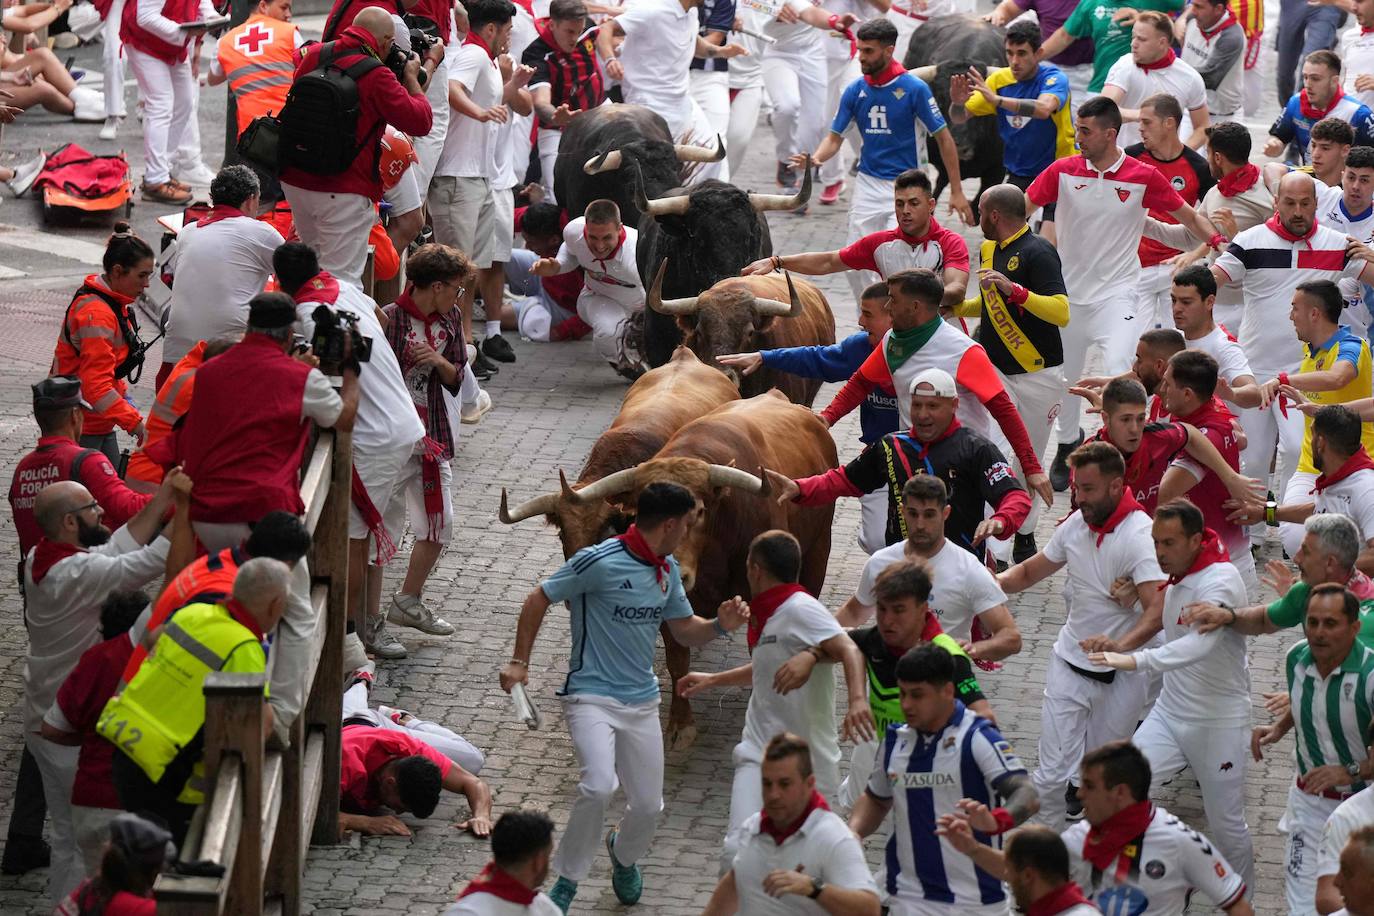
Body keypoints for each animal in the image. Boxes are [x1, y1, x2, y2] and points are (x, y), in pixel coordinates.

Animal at [557, 390, 835, 747]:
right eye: (641, 514)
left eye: (699, 510)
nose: (674, 567)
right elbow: (678, 660)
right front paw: (680, 722)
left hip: (819, 549)